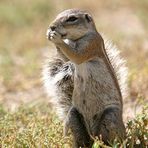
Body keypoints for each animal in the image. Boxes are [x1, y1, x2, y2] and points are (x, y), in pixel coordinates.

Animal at [42, 8, 128, 147]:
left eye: (72, 18)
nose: (52, 26)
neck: (75, 39)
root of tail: (93, 135)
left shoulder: (91, 43)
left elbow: (77, 55)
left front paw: (56, 38)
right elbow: (66, 59)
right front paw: (49, 34)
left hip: (110, 116)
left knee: (112, 138)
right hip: (73, 115)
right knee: (81, 138)